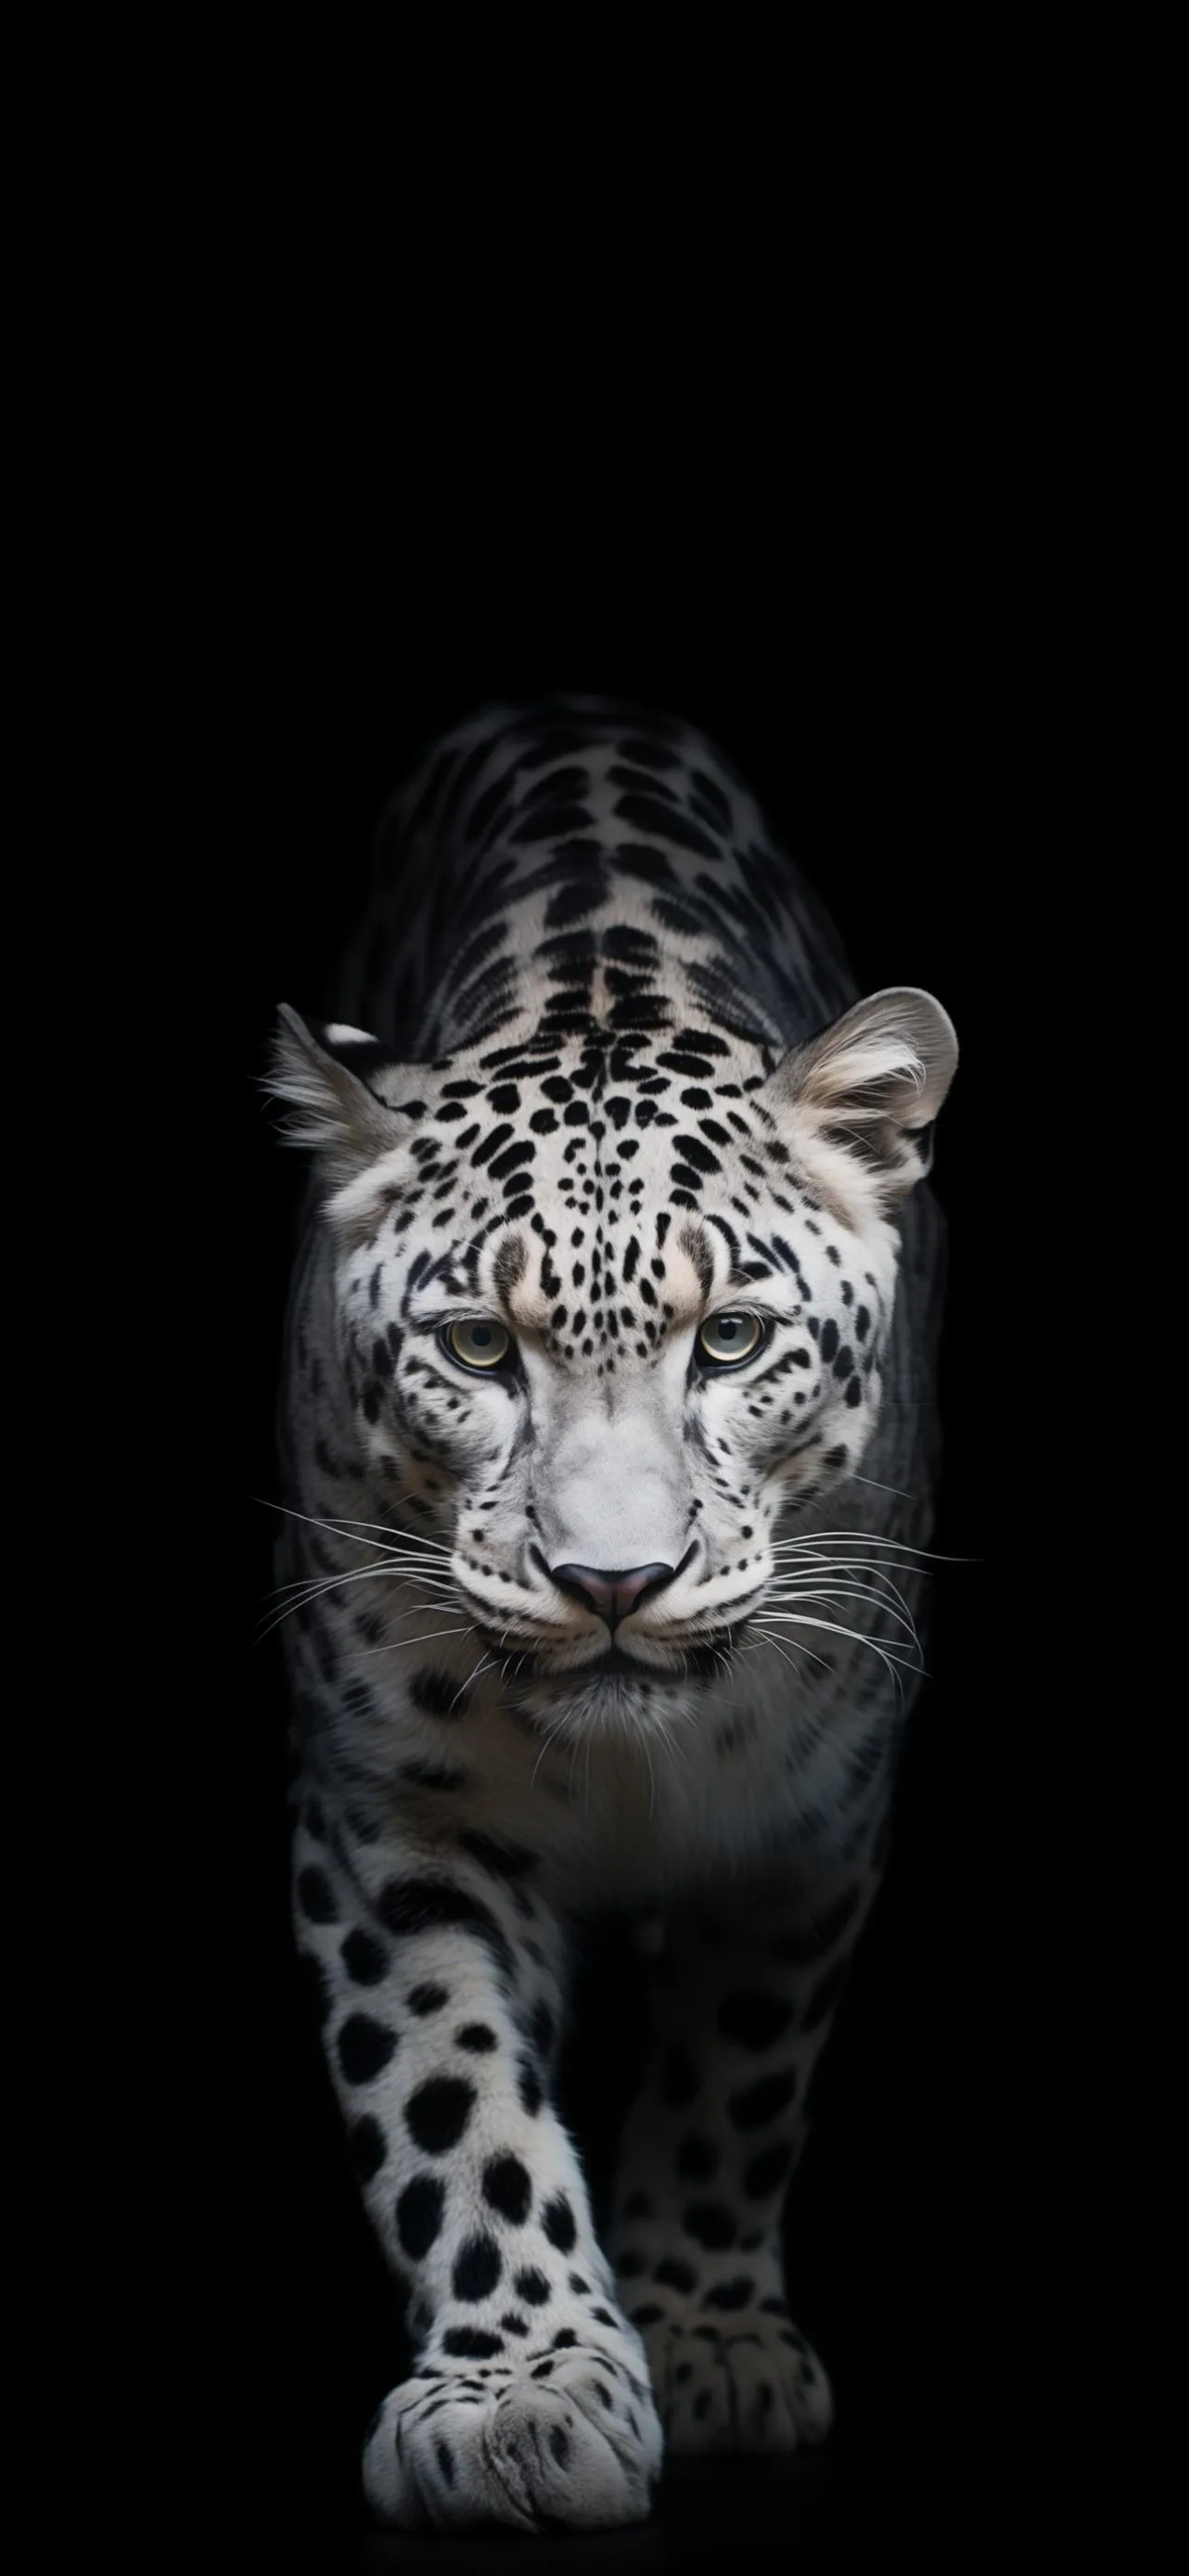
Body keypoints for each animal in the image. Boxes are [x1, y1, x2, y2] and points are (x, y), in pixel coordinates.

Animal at [267, 692, 958, 2534]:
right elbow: (450, 2091)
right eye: (475, 1347)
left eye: (731, 1339)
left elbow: (737, 2073)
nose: (611, 1582)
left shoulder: (811, 1820)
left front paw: (706, 2333)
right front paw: (519, 2396)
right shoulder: (391, 1810)